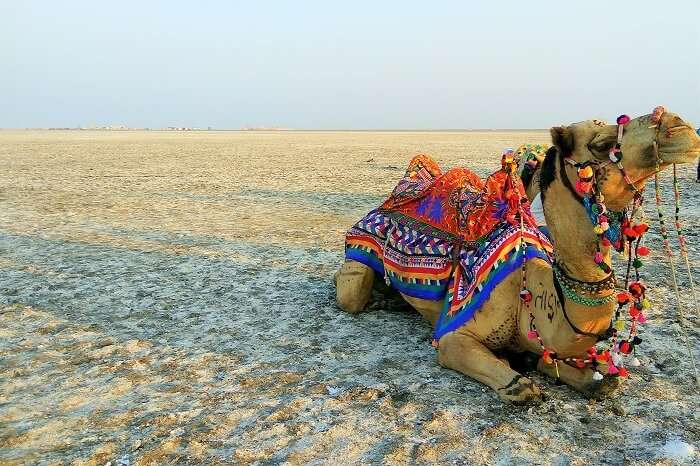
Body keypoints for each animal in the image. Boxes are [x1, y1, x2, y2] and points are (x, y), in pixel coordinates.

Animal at [334, 107, 700, 402]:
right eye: (602, 144)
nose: (679, 125)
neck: (535, 298)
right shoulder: (453, 335)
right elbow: (521, 387)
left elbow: (597, 379)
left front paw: (587, 377)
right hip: (357, 257)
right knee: (350, 290)